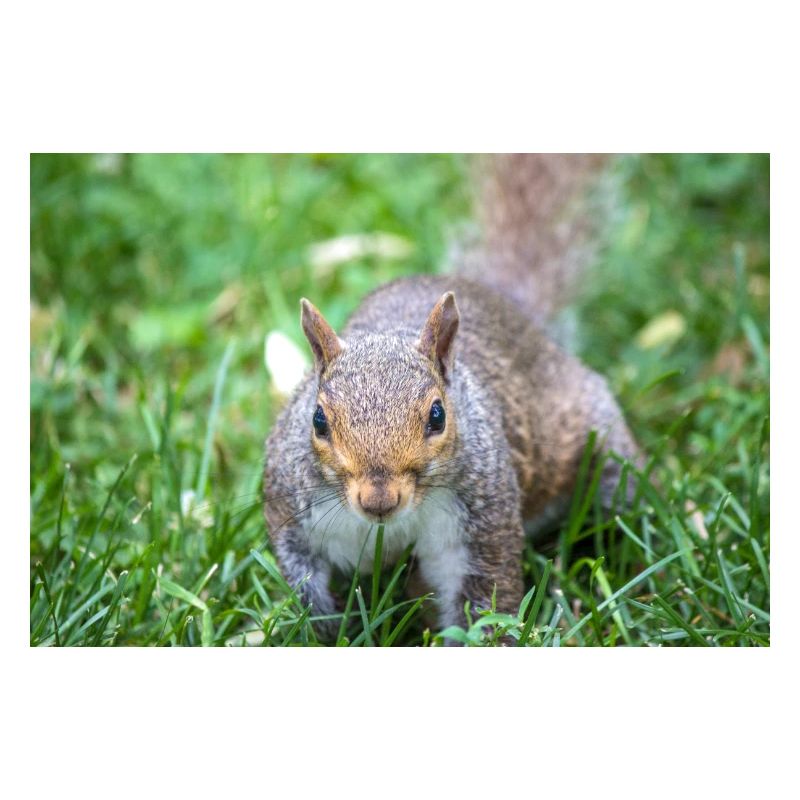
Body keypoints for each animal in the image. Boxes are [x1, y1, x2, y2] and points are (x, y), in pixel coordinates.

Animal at [263, 154, 639, 640]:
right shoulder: (290, 511)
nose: (379, 501)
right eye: (318, 421)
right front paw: (324, 630)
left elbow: (484, 598)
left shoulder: (480, 526)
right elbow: (302, 578)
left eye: (438, 416)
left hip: (604, 452)